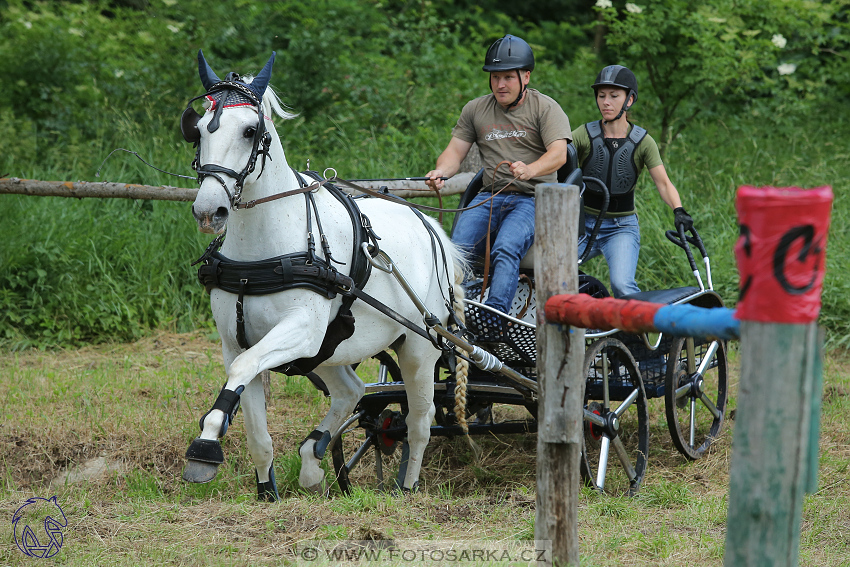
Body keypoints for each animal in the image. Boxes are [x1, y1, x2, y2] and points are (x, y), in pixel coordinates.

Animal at [180, 51, 468, 500]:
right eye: (197, 131)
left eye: (250, 130)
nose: (210, 211)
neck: (263, 252)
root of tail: (430, 225)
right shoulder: (236, 340)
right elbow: (254, 423)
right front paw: (265, 490)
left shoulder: (300, 329)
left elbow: (242, 370)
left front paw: (204, 448)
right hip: (331, 348)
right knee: (351, 390)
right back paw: (312, 459)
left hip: (419, 348)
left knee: (420, 422)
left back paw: (407, 485)